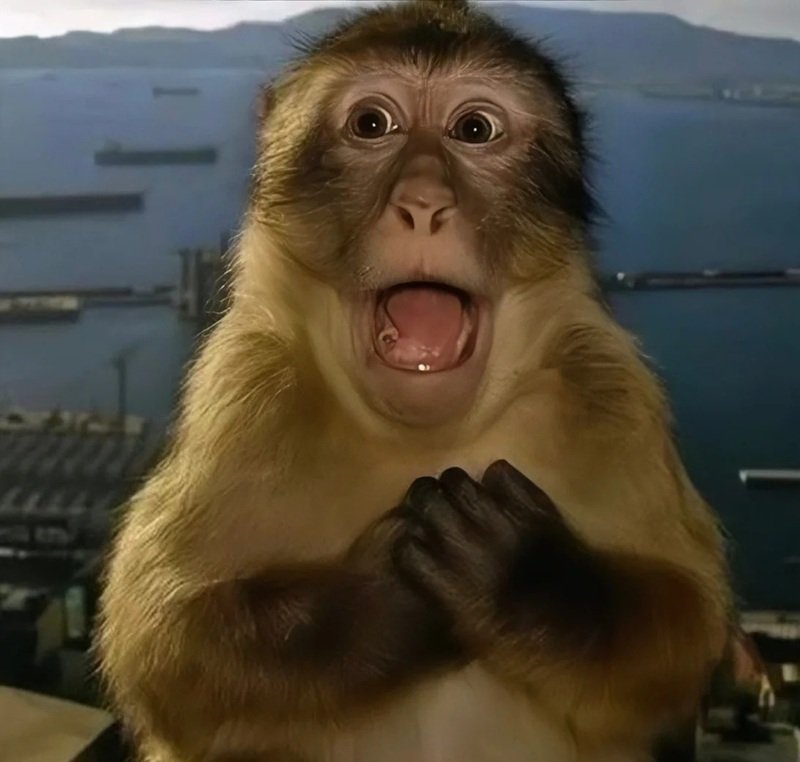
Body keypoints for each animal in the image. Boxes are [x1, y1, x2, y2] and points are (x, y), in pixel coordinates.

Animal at [96, 1, 732, 760]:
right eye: (373, 124)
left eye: (474, 130)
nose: (424, 202)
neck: (426, 435)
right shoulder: (246, 390)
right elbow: (163, 638)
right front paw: (384, 599)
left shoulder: (607, 388)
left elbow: (685, 616)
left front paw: (524, 579)